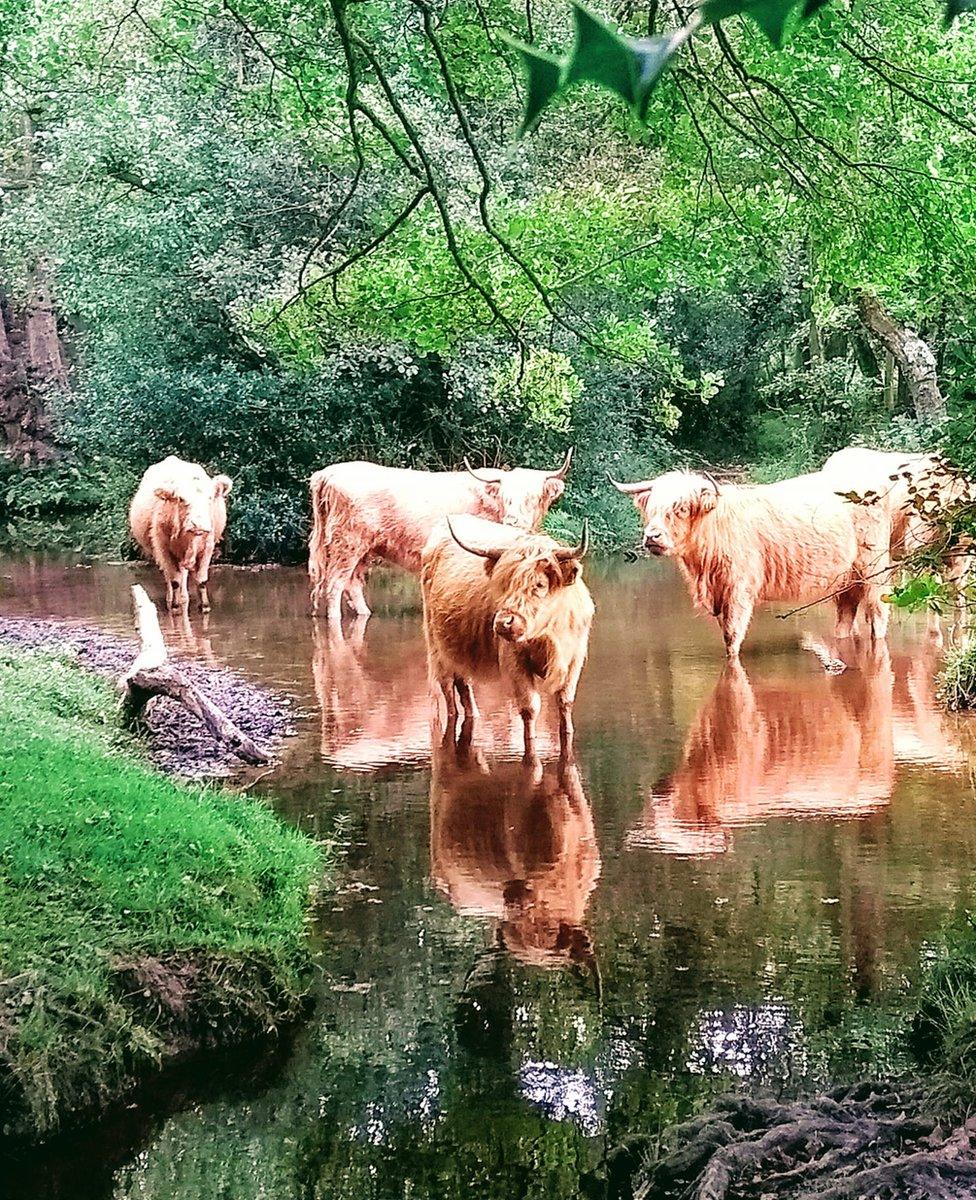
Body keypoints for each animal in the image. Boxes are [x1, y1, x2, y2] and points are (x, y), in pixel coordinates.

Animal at [128, 456, 232, 614]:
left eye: (209, 498)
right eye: (181, 499)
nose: (198, 524)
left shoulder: (208, 547)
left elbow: (201, 580)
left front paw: (205, 606)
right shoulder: (163, 548)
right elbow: (174, 579)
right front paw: (175, 606)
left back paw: (184, 597)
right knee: (171, 576)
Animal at [309, 448, 571, 624]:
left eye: (532, 497)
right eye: (506, 497)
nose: (513, 521)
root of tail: (327, 474)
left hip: (365, 548)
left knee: (352, 583)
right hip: (347, 543)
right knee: (335, 584)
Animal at [420, 516, 593, 758]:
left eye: (539, 584)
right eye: (506, 583)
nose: (503, 623)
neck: (547, 637)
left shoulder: (574, 659)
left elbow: (565, 701)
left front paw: (567, 733)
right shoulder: (514, 660)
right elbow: (530, 707)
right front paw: (530, 742)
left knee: (464, 684)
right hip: (436, 646)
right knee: (447, 689)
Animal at [609, 468, 893, 657]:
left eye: (680, 508)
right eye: (650, 510)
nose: (652, 536)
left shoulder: (739, 589)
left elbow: (732, 634)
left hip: (874, 569)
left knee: (878, 611)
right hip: (848, 579)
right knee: (846, 616)